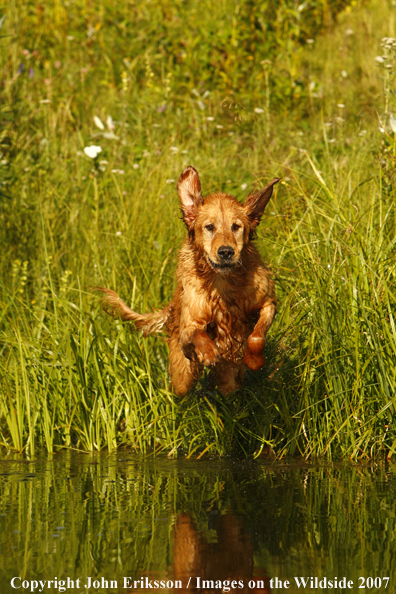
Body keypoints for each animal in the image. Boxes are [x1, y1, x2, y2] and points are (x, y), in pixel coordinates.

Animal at [95, 166, 278, 396]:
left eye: (236, 227)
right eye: (209, 227)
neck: (223, 281)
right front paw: (208, 352)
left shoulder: (268, 302)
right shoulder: (188, 325)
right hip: (182, 378)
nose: (226, 252)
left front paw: (254, 361)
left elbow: (256, 336)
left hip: (229, 381)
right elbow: (196, 333)